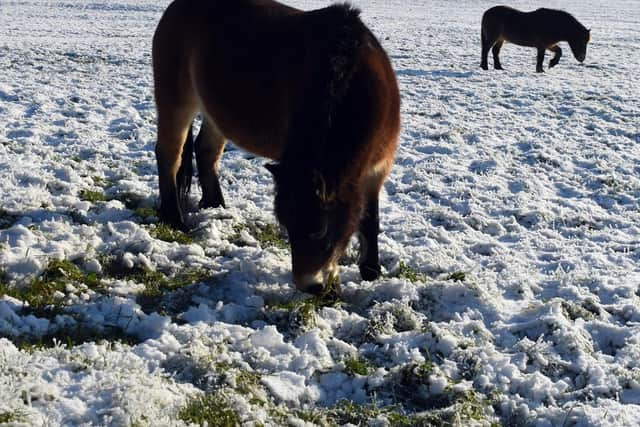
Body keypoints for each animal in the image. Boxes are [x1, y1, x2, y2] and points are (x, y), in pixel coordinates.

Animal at [152, 0, 400, 294]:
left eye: (319, 229)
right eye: (287, 226)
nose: (310, 286)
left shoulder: (377, 168)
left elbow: (369, 217)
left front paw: (371, 271)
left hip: (214, 112)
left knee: (206, 151)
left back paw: (215, 206)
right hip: (176, 102)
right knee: (170, 155)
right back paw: (174, 218)